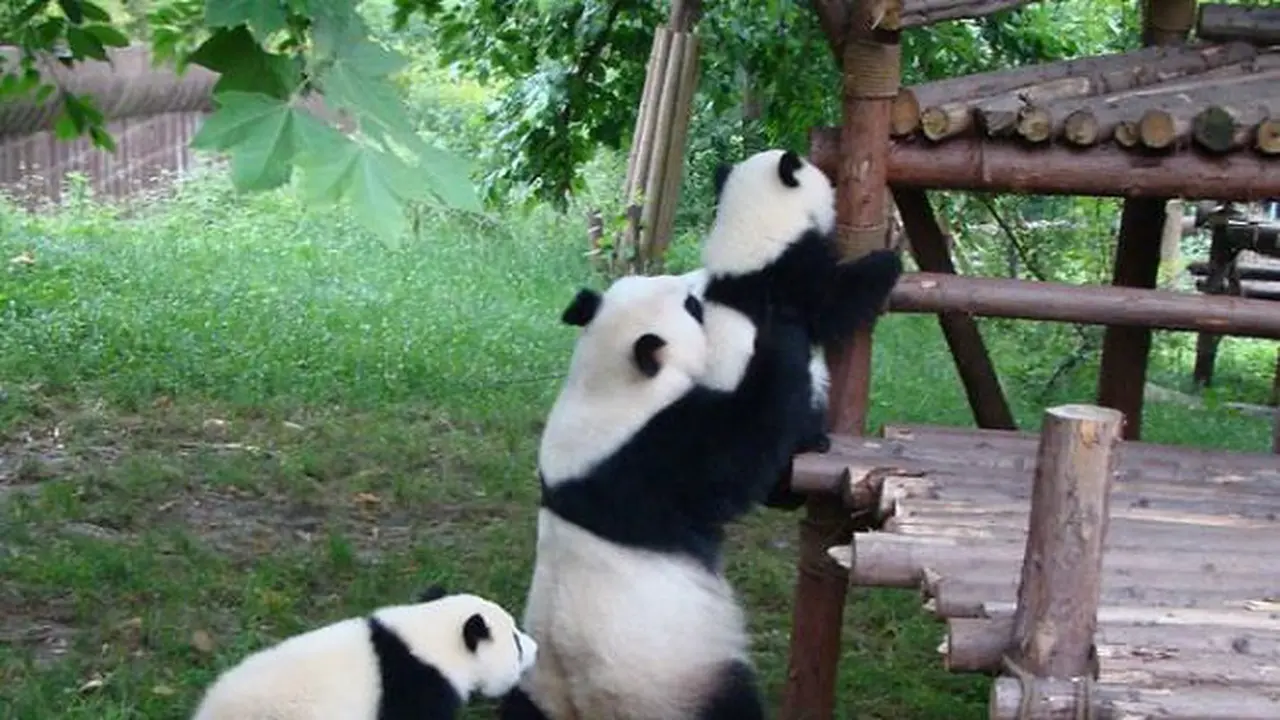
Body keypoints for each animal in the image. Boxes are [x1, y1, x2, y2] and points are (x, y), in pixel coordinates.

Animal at [498, 273, 815, 720]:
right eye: (692, 307)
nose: (701, 280)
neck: (607, 384)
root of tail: (586, 710)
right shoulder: (654, 456)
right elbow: (744, 450)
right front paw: (783, 327)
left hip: (538, 689)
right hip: (682, 685)